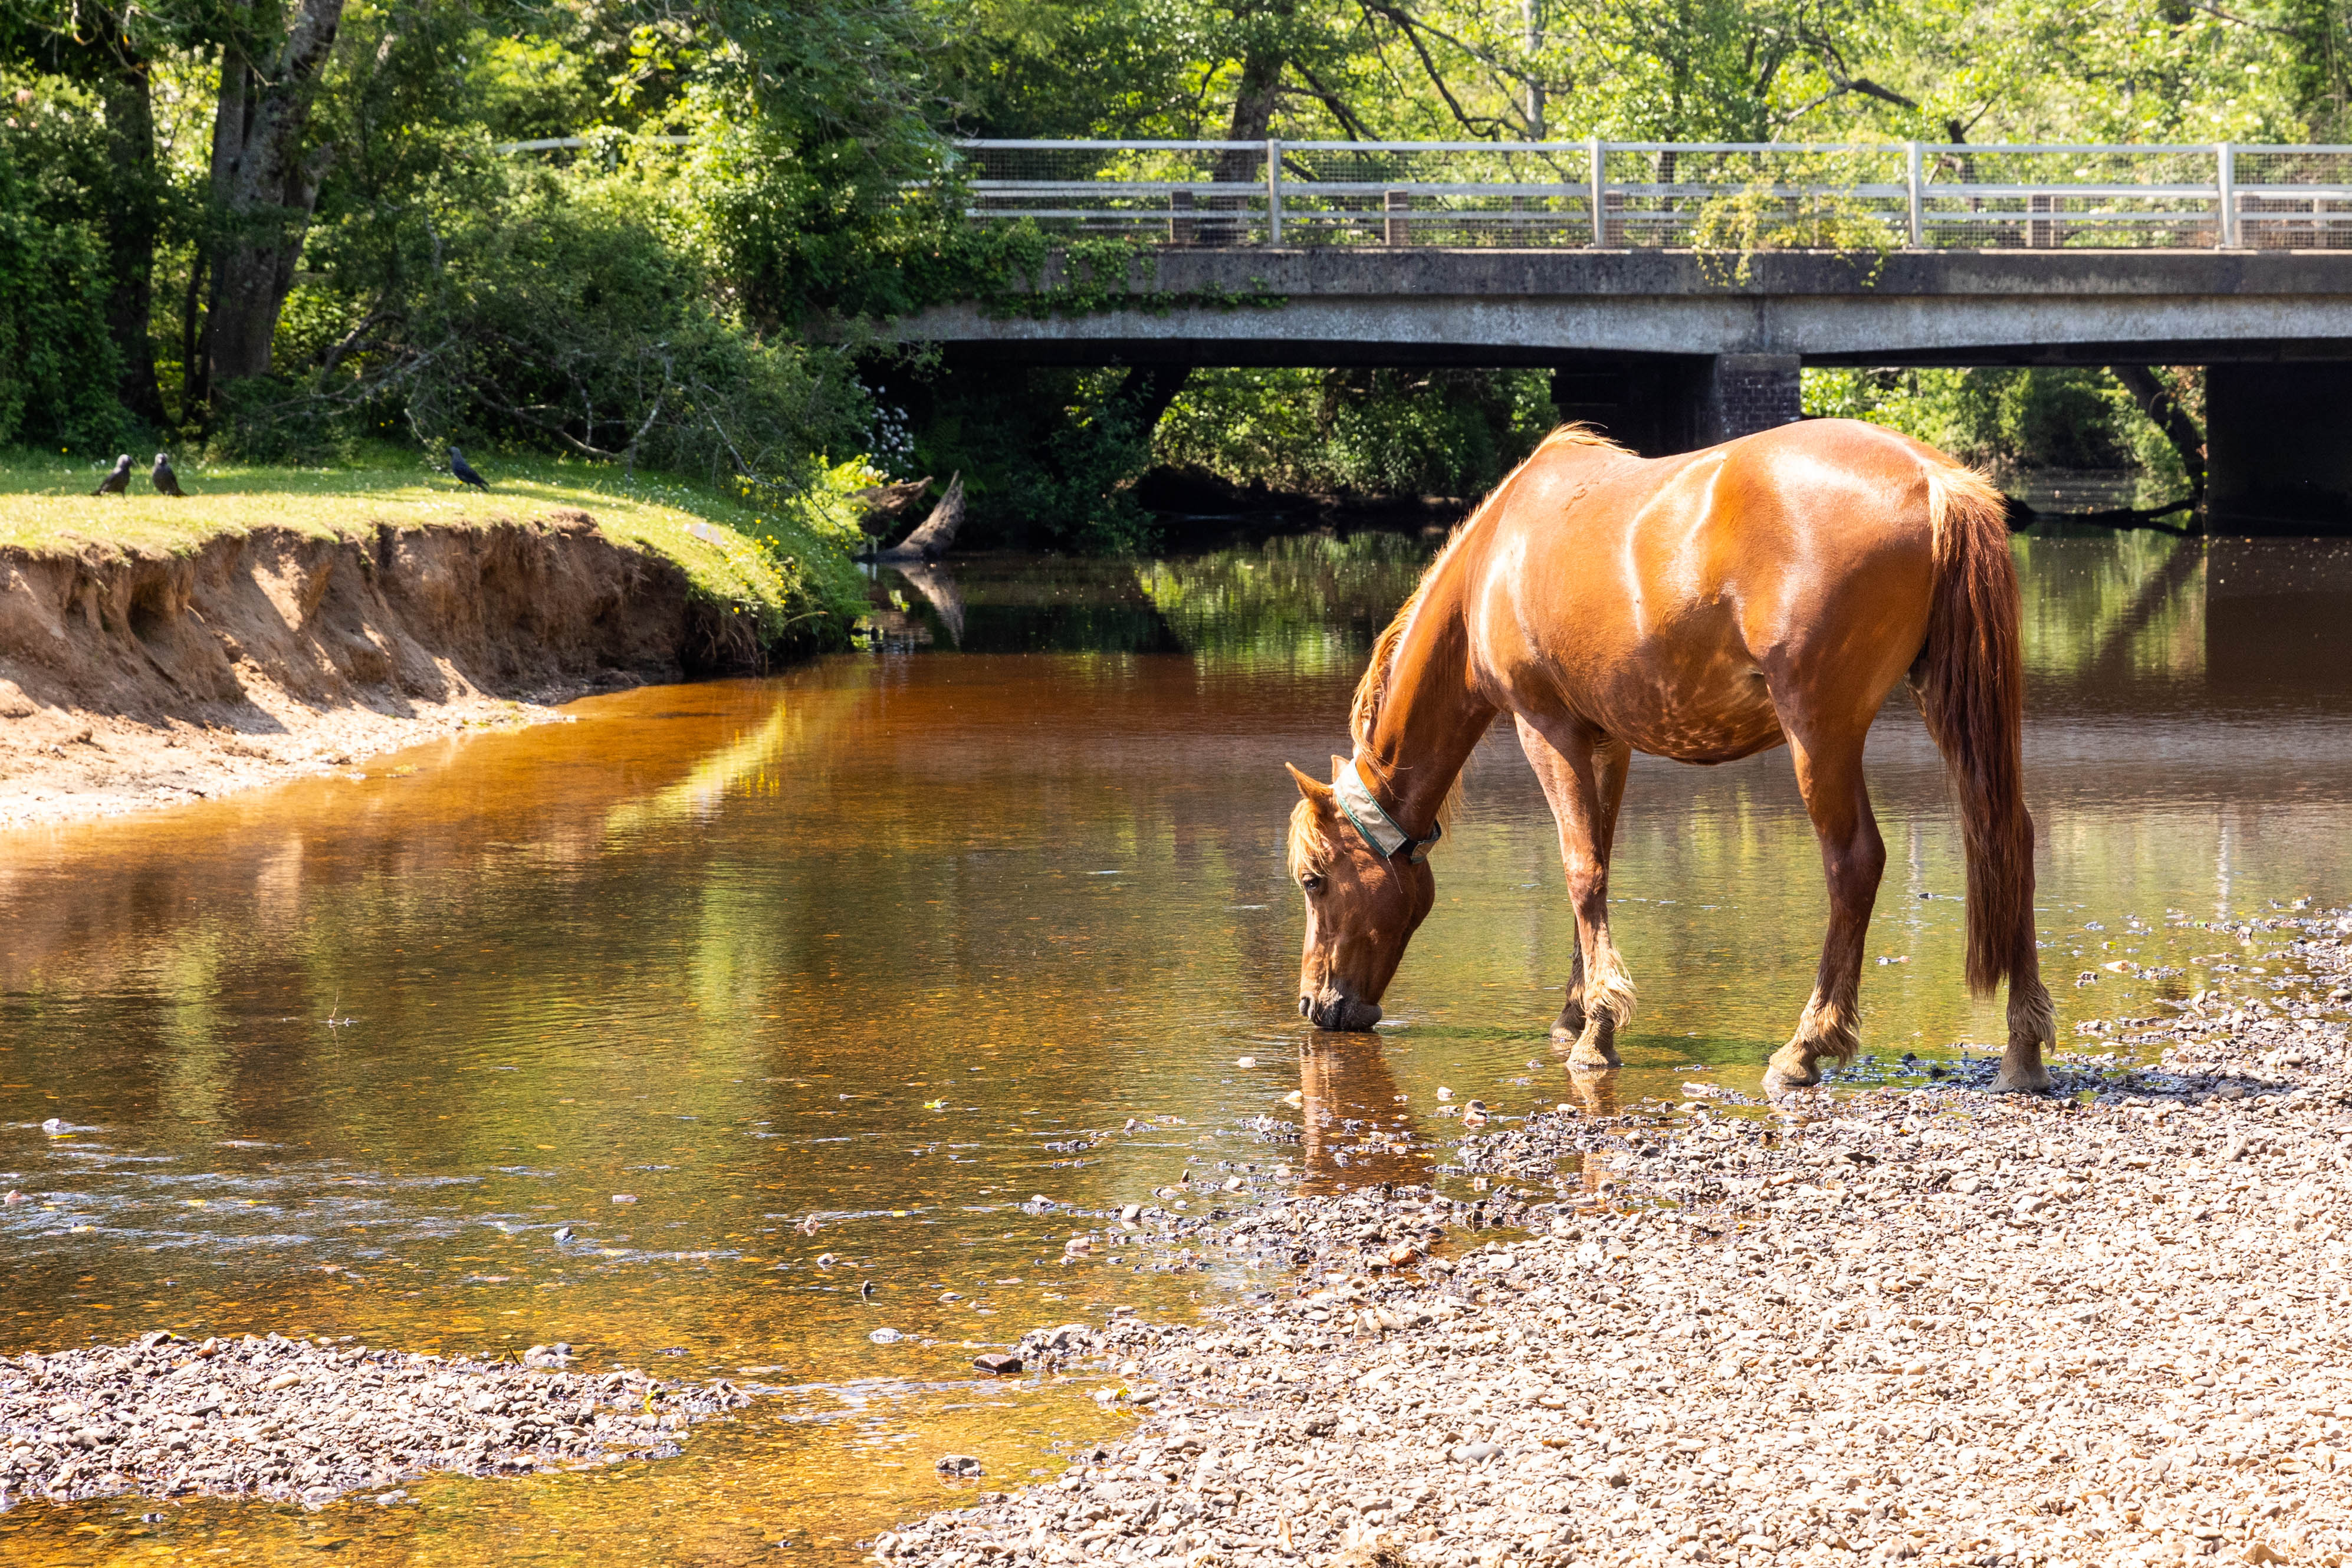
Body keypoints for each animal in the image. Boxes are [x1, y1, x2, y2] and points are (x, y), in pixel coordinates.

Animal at [1289, 423, 2060, 1100]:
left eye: (1312, 881)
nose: (1312, 1005)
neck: (1496, 555)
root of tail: (1934, 480)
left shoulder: (1547, 729)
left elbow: (1579, 869)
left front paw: (1597, 1034)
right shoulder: (1609, 742)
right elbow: (1596, 864)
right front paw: (1576, 1011)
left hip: (1819, 731)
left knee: (1854, 862)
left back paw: (1805, 1046)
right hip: (1950, 705)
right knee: (2007, 835)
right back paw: (2021, 1050)